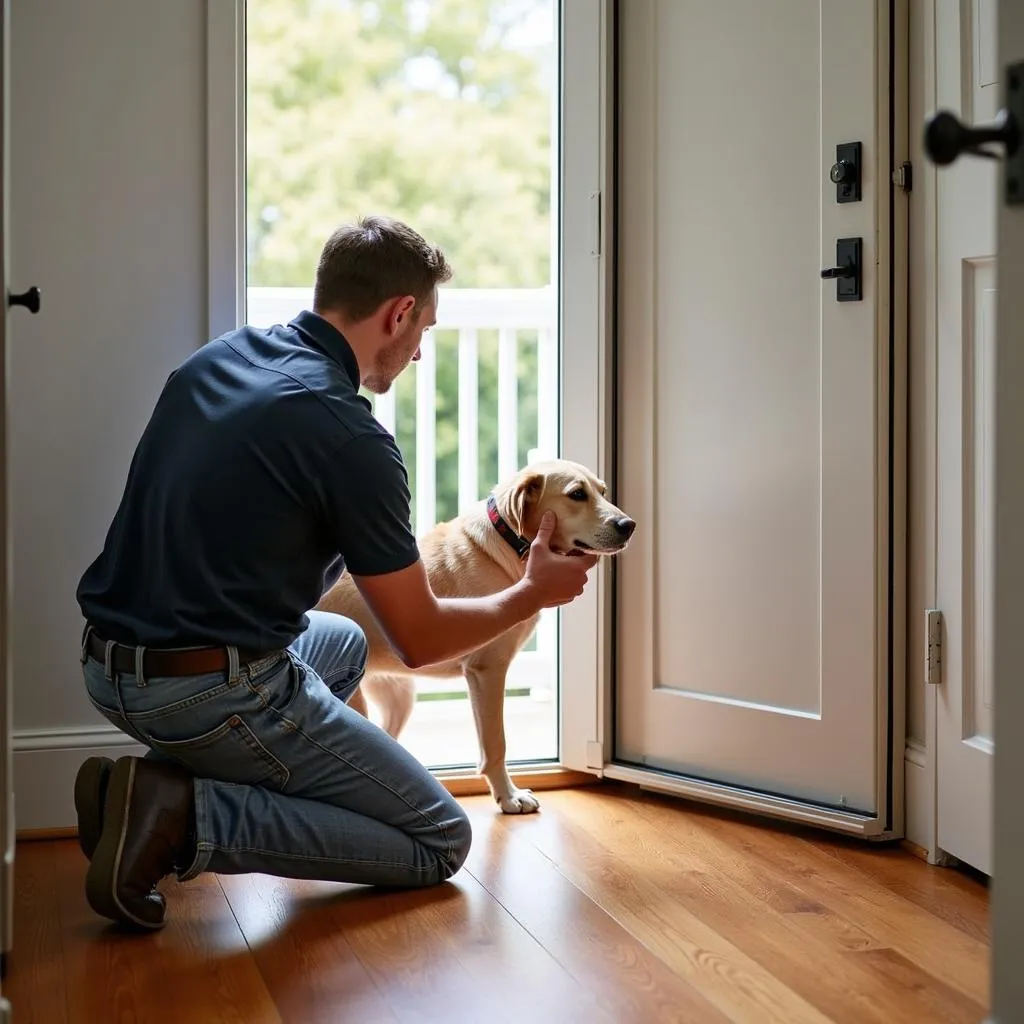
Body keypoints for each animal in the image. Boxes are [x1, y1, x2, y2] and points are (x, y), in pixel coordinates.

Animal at [315, 460, 634, 811]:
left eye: (603, 491)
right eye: (577, 494)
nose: (628, 525)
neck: (509, 545)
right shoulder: (487, 670)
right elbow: (495, 743)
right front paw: (508, 796)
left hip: (398, 695)